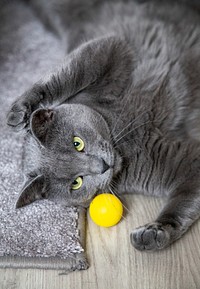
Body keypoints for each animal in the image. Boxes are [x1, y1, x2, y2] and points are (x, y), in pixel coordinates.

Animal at [6, 0, 200, 250]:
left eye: (77, 143)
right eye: (76, 182)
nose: (102, 166)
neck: (125, 139)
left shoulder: (111, 48)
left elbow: (69, 73)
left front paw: (21, 111)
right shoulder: (184, 162)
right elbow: (184, 202)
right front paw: (155, 233)